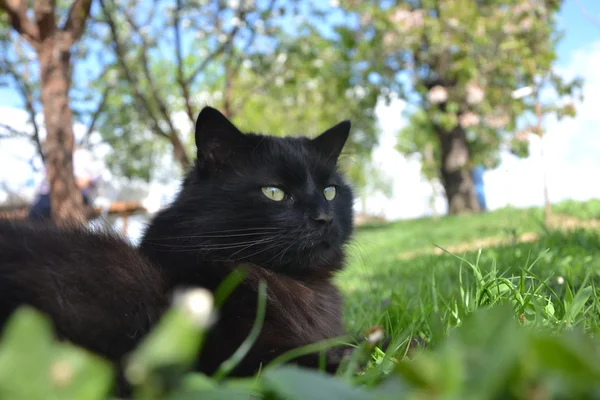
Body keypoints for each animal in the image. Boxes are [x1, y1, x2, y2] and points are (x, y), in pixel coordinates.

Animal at [0, 106, 356, 390]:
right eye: (274, 192)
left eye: (330, 191)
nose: (324, 217)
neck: (295, 285)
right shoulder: (236, 359)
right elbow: (325, 359)